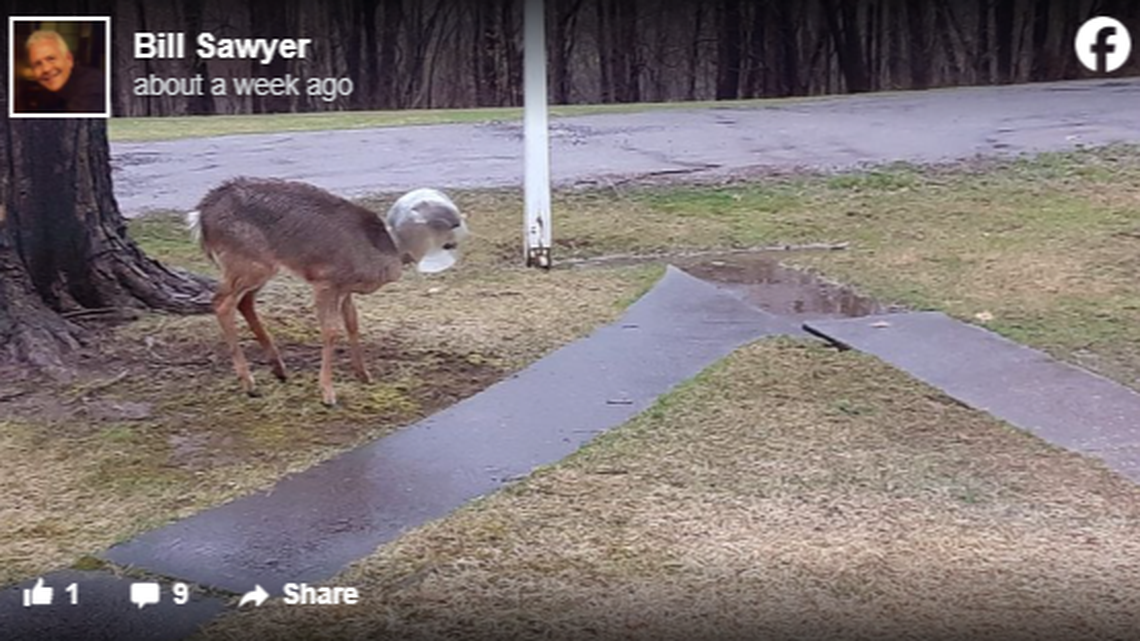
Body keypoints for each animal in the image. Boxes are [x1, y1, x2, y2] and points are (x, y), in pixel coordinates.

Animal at [186, 177, 468, 406]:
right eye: (444, 221)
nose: (458, 232)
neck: (380, 250)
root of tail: (200, 216)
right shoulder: (326, 281)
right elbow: (331, 331)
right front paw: (328, 394)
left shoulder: (345, 288)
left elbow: (352, 323)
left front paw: (364, 375)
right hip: (247, 259)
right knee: (222, 302)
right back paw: (249, 383)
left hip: (257, 265)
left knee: (244, 301)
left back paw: (278, 368)